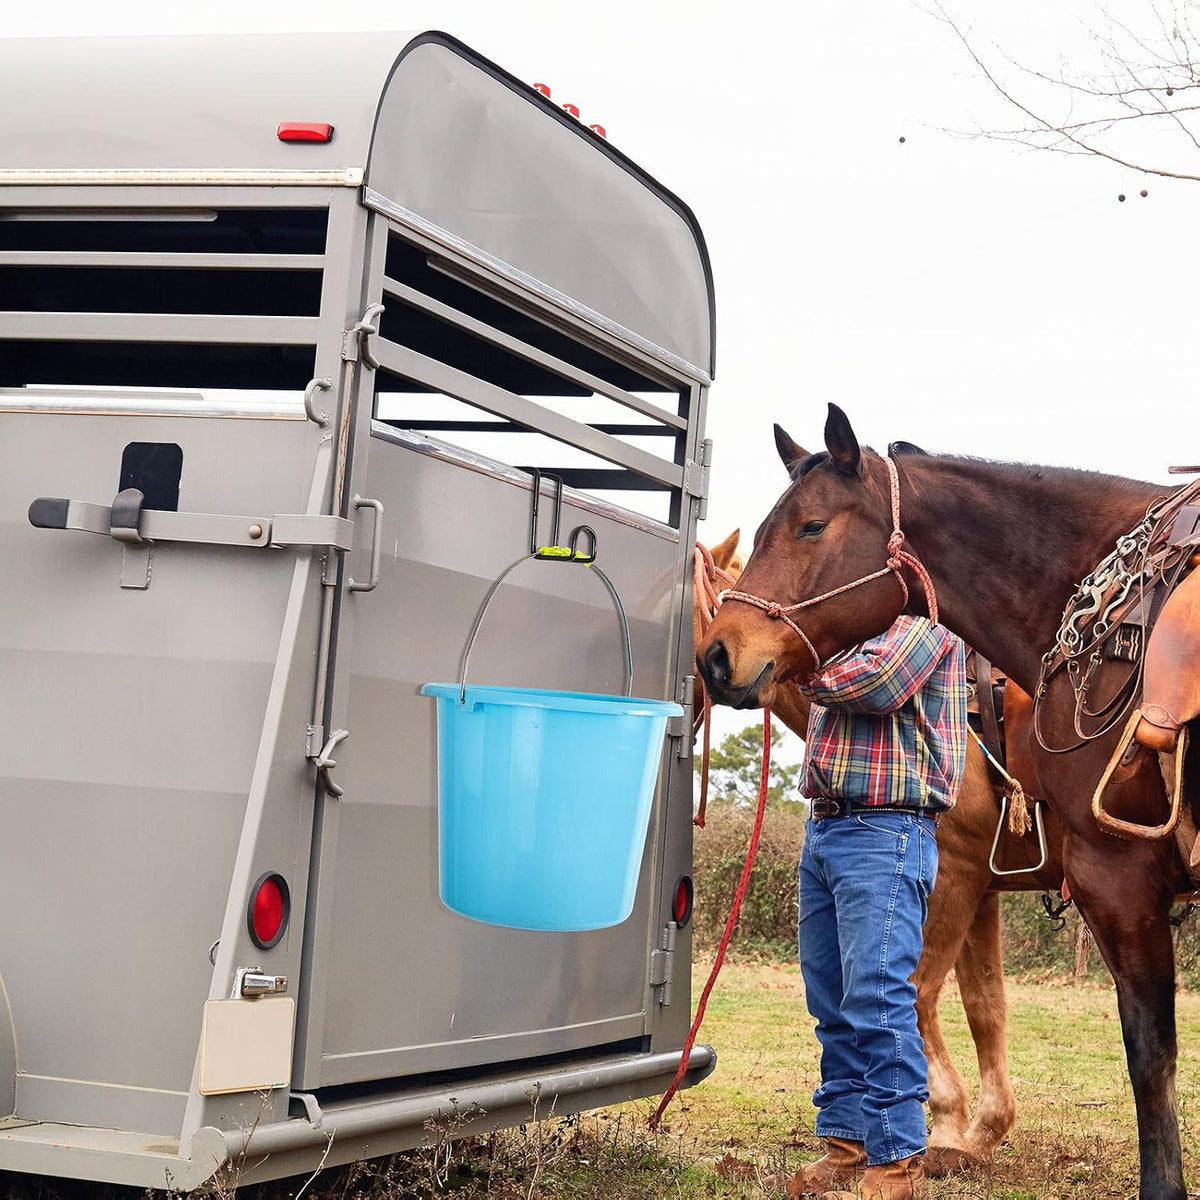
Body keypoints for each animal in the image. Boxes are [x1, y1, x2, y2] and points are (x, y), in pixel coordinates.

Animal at [695, 532, 1064, 1174]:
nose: (712, 662)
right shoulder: (982, 892)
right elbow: (985, 1006)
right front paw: (984, 1132)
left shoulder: (952, 881)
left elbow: (915, 999)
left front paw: (945, 1130)